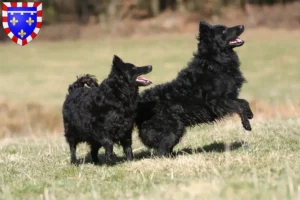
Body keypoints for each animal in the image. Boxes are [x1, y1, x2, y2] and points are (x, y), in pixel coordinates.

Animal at [136, 21, 253, 156]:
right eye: (223, 31)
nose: (242, 26)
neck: (214, 62)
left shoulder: (229, 98)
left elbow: (244, 102)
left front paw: (250, 114)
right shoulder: (218, 101)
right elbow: (240, 105)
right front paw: (246, 124)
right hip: (174, 128)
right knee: (162, 150)